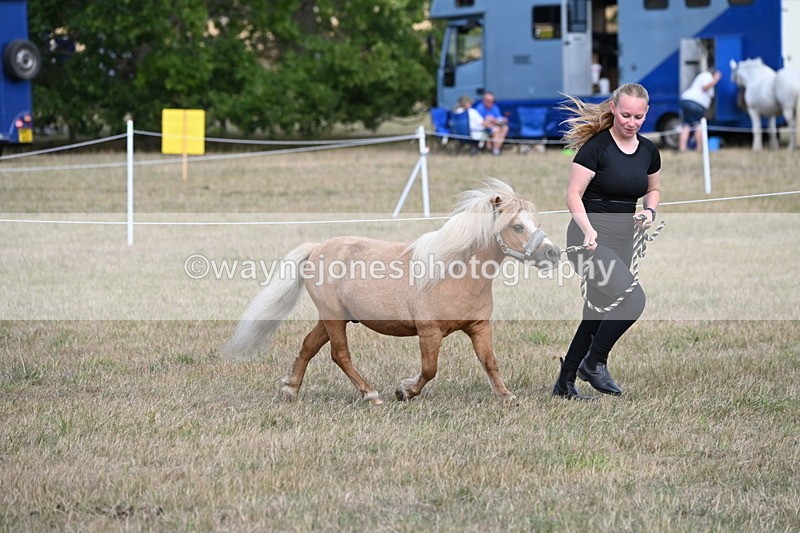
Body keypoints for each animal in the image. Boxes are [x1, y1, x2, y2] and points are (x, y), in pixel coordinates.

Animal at [223, 178, 560, 405]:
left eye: (535, 221)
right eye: (517, 226)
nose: (552, 253)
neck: (454, 272)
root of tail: (317, 248)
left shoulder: (479, 327)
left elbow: (490, 362)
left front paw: (507, 396)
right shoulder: (429, 332)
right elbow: (429, 369)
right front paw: (404, 391)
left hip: (332, 318)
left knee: (309, 346)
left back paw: (290, 388)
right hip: (333, 318)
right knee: (340, 354)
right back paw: (371, 394)